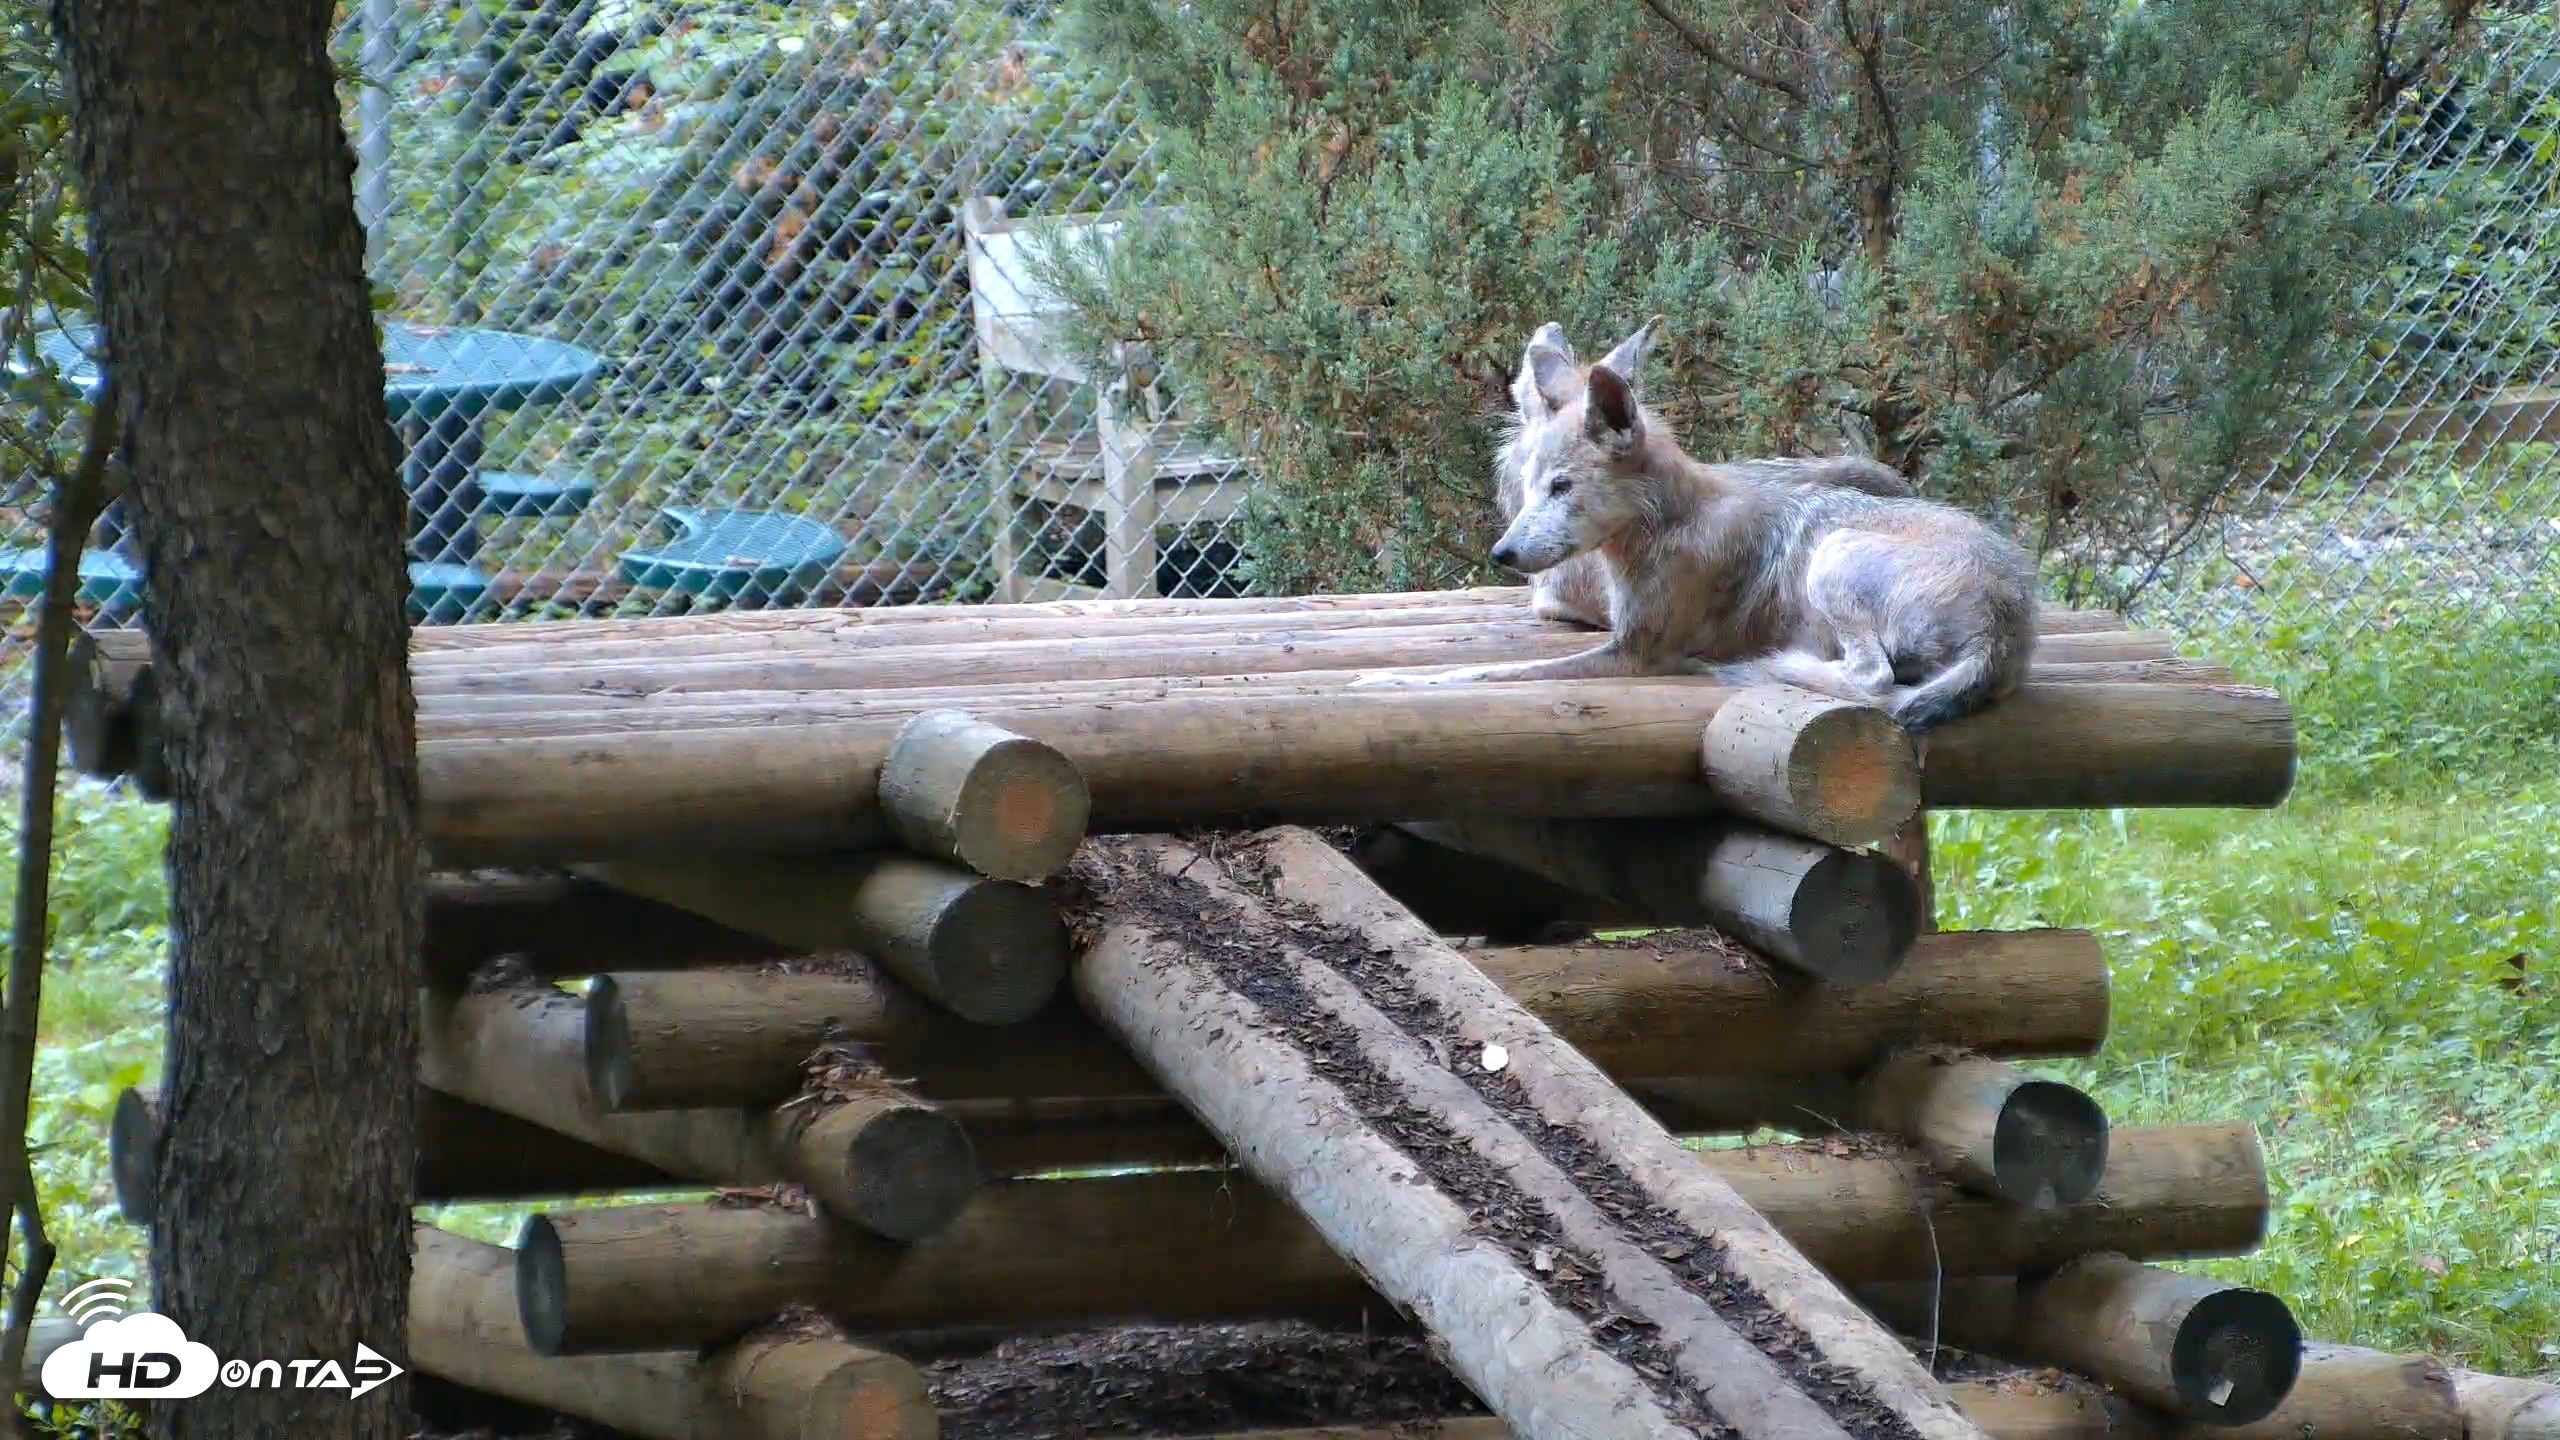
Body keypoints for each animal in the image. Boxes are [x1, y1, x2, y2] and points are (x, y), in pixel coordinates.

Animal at [1356, 316, 2038, 735]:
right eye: (1531, 487)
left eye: (1562, 487)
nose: (1501, 554)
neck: (1661, 529)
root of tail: (2006, 625)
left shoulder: (1633, 655)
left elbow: (1479, 671)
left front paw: (1387, 677)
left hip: (1834, 553)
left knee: (1873, 680)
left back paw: (1767, 666)